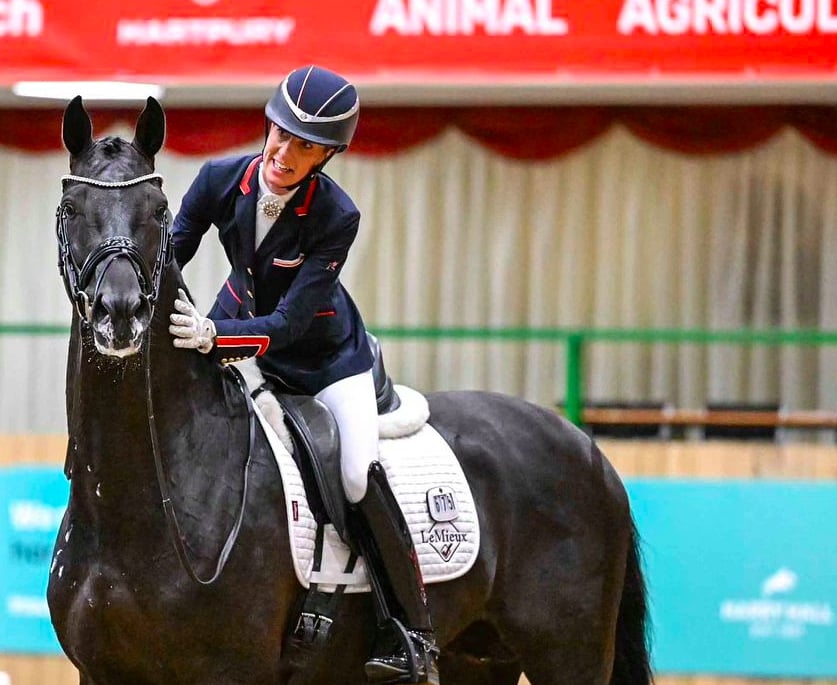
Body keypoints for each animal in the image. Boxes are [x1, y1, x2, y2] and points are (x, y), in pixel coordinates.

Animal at [47, 96, 652, 684]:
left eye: (157, 211)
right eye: (72, 208)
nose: (120, 313)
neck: (150, 496)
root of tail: (589, 451)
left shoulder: (231, 670)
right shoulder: (99, 672)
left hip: (567, 653)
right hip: (481, 656)